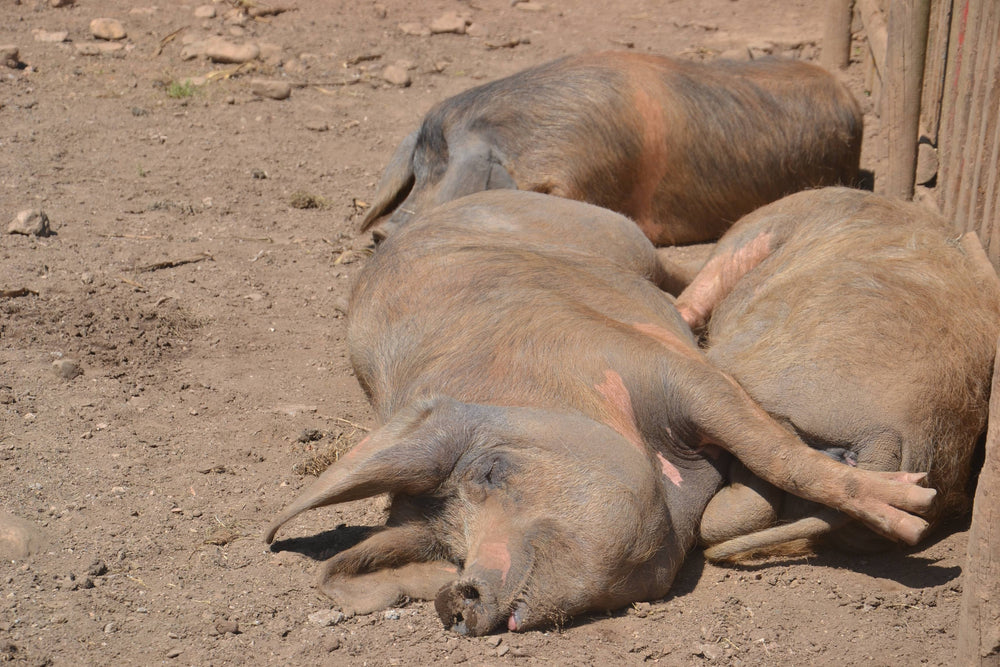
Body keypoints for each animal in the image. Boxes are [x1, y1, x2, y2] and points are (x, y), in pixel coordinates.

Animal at [265, 190, 934, 635]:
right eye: (451, 548)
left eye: (490, 473)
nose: (453, 597)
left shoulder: (665, 370)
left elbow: (776, 452)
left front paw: (915, 508)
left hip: (614, 232)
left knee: (681, 267)